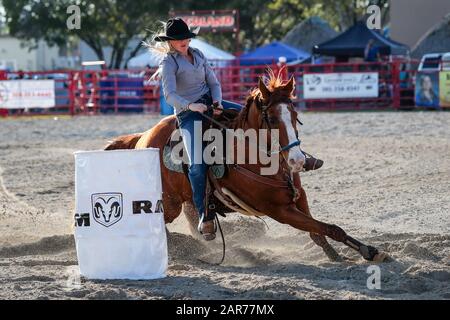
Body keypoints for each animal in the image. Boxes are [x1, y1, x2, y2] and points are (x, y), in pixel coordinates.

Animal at [104, 73, 386, 262]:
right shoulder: (280, 211)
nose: (297, 160)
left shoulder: (300, 196)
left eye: (295, 116)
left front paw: (338, 255)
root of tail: (143, 137)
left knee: (197, 222)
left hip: (189, 200)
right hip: (169, 203)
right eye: (271, 118)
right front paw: (368, 251)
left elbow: (320, 231)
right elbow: (326, 227)